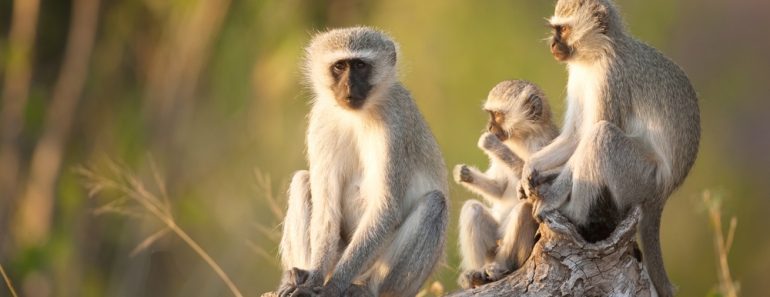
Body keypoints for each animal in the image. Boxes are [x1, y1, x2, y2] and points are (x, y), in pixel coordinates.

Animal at [276, 26, 448, 296]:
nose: (348, 85)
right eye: (339, 67)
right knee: (302, 180)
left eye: (359, 65)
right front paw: (313, 279)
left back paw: (366, 288)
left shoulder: (395, 125)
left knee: (434, 202)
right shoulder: (320, 120)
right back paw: (298, 274)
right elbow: (326, 210)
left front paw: (332, 287)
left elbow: (385, 208)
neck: (355, 116)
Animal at [452, 80, 556, 288]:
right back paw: (476, 274)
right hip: (493, 245)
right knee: (472, 209)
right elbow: (499, 188)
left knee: (524, 210)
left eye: (498, 115)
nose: (489, 127)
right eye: (490, 114)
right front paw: (464, 174)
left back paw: (501, 268)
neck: (522, 137)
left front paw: (489, 143)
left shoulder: (545, 144)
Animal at [520, 0, 700, 296]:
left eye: (563, 30)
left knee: (601, 136)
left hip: (640, 179)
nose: (553, 44)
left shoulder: (610, 78)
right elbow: (575, 136)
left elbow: (589, 135)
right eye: (555, 29)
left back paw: (574, 215)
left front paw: (551, 197)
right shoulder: (578, 76)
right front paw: (530, 168)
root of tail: (664, 193)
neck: (596, 55)